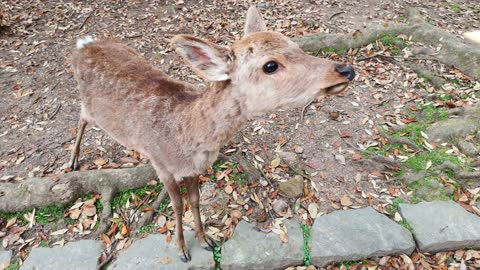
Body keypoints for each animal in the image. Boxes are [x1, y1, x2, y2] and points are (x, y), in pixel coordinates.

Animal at [68, 7, 352, 262]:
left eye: (296, 46)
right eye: (270, 65)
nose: (345, 69)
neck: (188, 138)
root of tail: (84, 43)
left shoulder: (195, 168)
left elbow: (195, 200)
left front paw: (206, 239)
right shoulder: (162, 166)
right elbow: (177, 205)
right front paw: (182, 250)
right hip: (89, 106)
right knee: (80, 118)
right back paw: (73, 161)